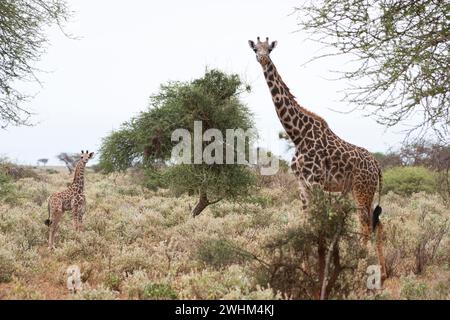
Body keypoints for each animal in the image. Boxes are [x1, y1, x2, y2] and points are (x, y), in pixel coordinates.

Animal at [250, 36, 386, 278]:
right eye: (255, 49)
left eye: (269, 49)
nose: (262, 58)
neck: (297, 135)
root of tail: (377, 165)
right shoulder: (302, 184)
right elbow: (306, 223)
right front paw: (306, 269)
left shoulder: (315, 182)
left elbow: (318, 224)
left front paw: (319, 270)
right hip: (363, 191)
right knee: (376, 224)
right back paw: (383, 272)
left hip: (362, 190)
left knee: (364, 225)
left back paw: (360, 267)